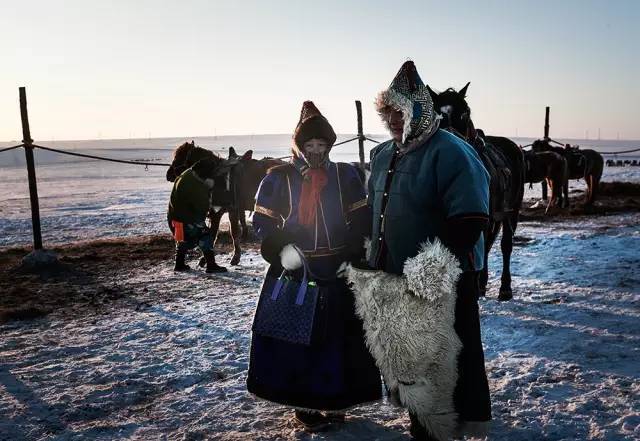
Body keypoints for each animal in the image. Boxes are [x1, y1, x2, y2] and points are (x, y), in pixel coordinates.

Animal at [430, 82, 524, 300]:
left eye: (466, 112)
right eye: (437, 113)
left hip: (512, 211)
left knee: (505, 245)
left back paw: (504, 288)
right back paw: (482, 284)